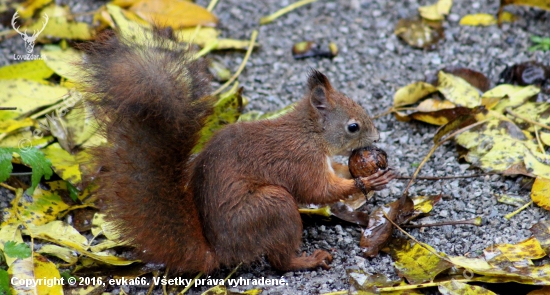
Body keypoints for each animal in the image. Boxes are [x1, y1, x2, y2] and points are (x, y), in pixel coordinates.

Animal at [78, 30, 396, 276]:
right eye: (353, 127)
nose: (378, 137)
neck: (311, 133)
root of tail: (219, 251)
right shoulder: (301, 160)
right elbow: (319, 191)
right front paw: (367, 181)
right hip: (272, 207)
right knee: (280, 261)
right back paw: (309, 260)